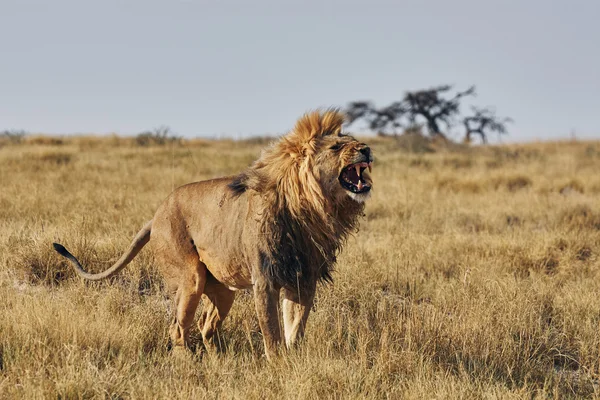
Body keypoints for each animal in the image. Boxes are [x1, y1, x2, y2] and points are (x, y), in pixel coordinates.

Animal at [55, 109, 376, 360]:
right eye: (336, 148)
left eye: (354, 142)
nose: (368, 149)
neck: (313, 206)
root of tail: (155, 214)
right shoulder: (265, 280)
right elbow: (272, 331)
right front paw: (277, 364)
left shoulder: (303, 279)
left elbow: (295, 328)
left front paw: (294, 359)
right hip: (189, 279)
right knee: (177, 327)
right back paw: (186, 362)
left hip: (223, 289)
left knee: (206, 327)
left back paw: (219, 361)